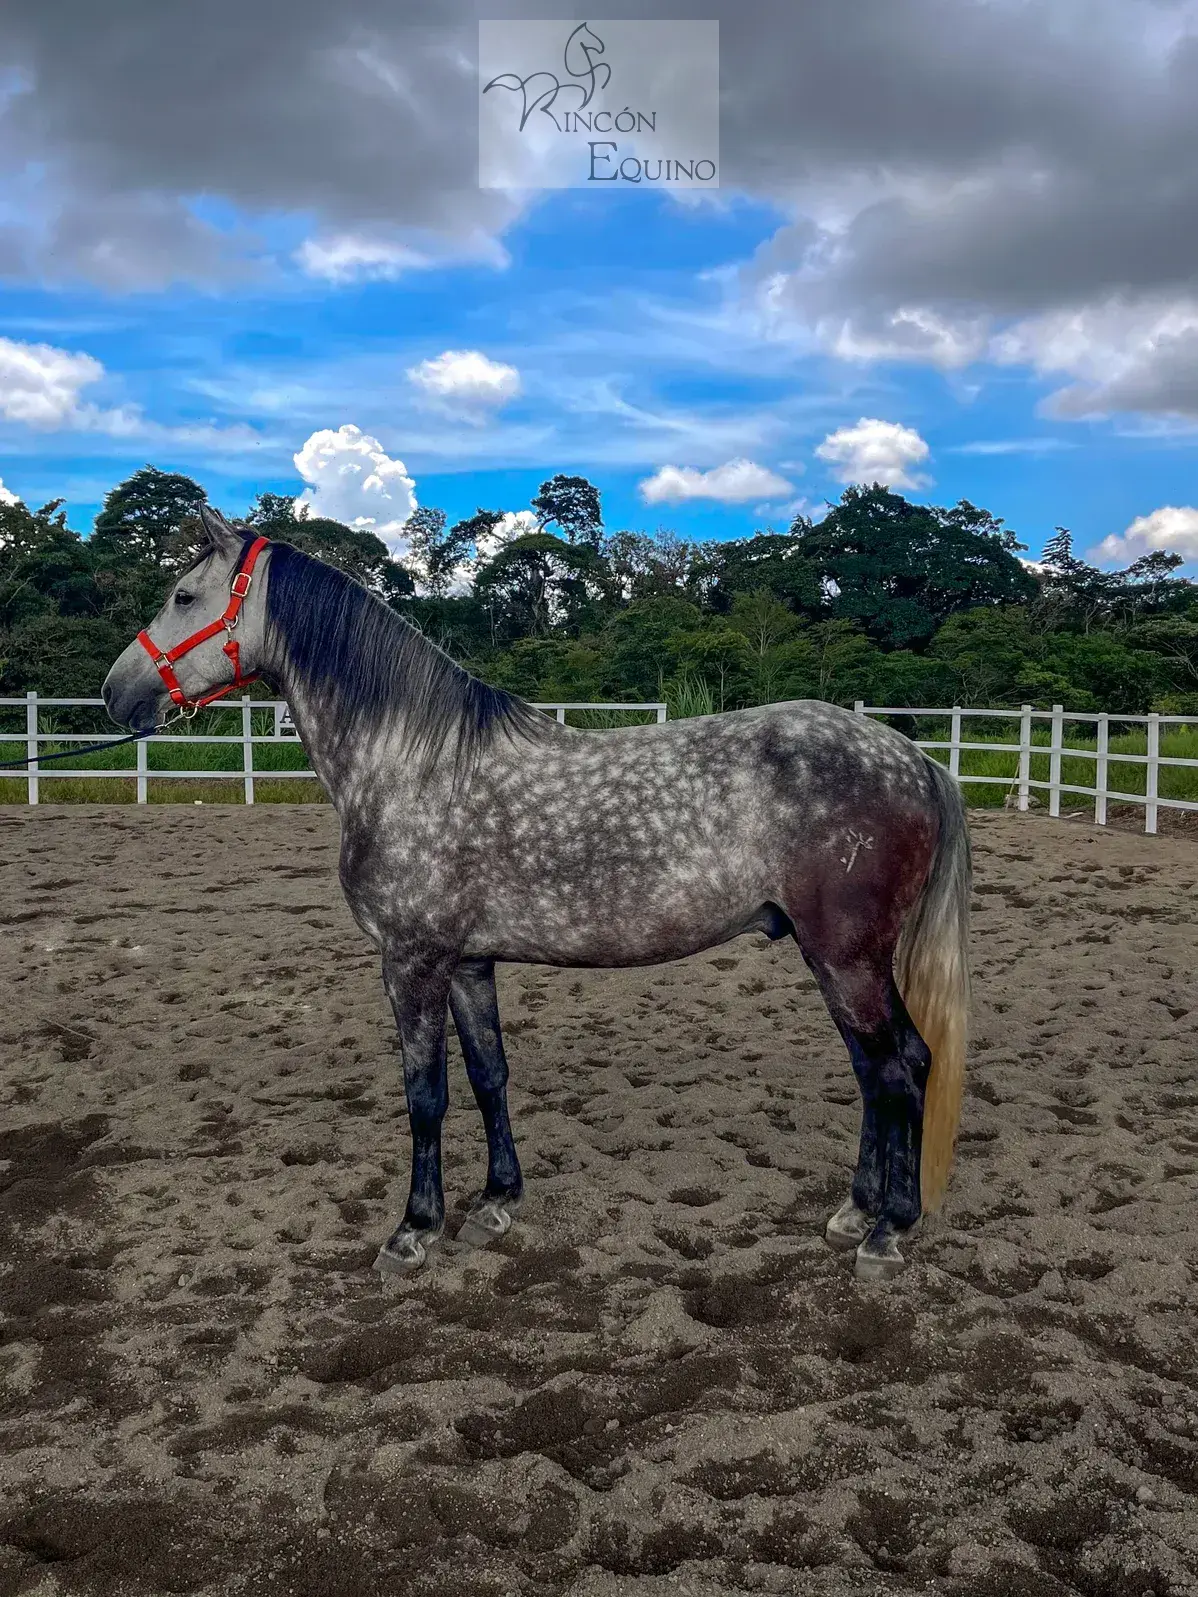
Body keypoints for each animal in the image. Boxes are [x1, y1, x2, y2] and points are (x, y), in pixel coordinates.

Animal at [102, 507, 970, 1283]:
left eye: (184, 594)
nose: (118, 693)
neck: (411, 762)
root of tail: (917, 760)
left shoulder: (411, 961)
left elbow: (425, 1094)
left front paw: (412, 1231)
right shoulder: (466, 962)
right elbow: (489, 1074)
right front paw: (495, 1202)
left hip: (848, 957)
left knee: (899, 1068)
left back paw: (888, 1234)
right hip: (835, 959)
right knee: (877, 1070)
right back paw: (858, 1211)